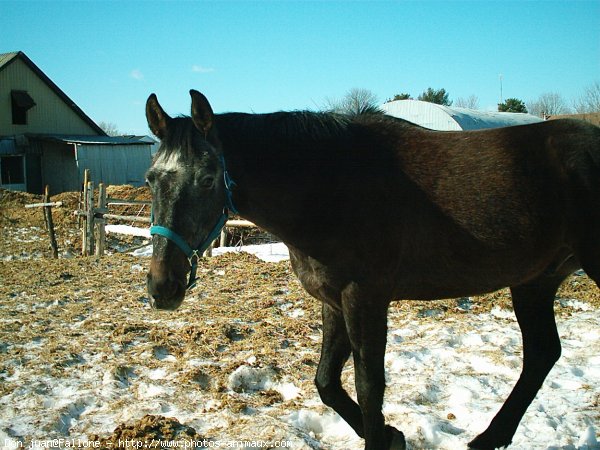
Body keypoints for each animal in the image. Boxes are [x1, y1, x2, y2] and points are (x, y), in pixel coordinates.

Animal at [145, 89, 600, 448]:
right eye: (151, 178)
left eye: (208, 178)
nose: (162, 286)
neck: (333, 186)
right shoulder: (333, 300)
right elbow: (327, 383)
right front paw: (391, 435)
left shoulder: (365, 299)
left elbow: (369, 387)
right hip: (536, 281)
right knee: (542, 353)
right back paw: (489, 437)